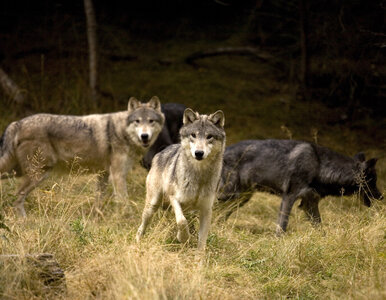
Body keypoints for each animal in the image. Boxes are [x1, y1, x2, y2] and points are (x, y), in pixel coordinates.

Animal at [0, 96, 164, 216]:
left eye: (151, 121)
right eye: (137, 121)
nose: (144, 136)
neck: (121, 131)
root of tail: (17, 123)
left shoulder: (103, 174)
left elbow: (98, 200)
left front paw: (96, 219)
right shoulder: (117, 175)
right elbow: (123, 200)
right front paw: (128, 219)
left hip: (20, 172)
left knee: (16, 196)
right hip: (37, 174)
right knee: (18, 197)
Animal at [136, 108, 225, 251]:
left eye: (209, 136)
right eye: (193, 135)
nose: (199, 153)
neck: (199, 176)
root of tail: (163, 150)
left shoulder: (206, 210)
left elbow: (201, 243)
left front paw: (198, 257)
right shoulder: (174, 198)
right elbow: (182, 221)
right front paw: (183, 238)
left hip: (188, 210)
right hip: (152, 205)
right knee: (142, 227)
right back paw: (137, 243)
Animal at [217, 139, 382, 236]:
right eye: (373, 181)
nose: (382, 196)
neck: (320, 166)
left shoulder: (309, 204)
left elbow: (320, 227)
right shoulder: (289, 197)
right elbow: (282, 226)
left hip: (240, 199)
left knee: (221, 215)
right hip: (229, 195)